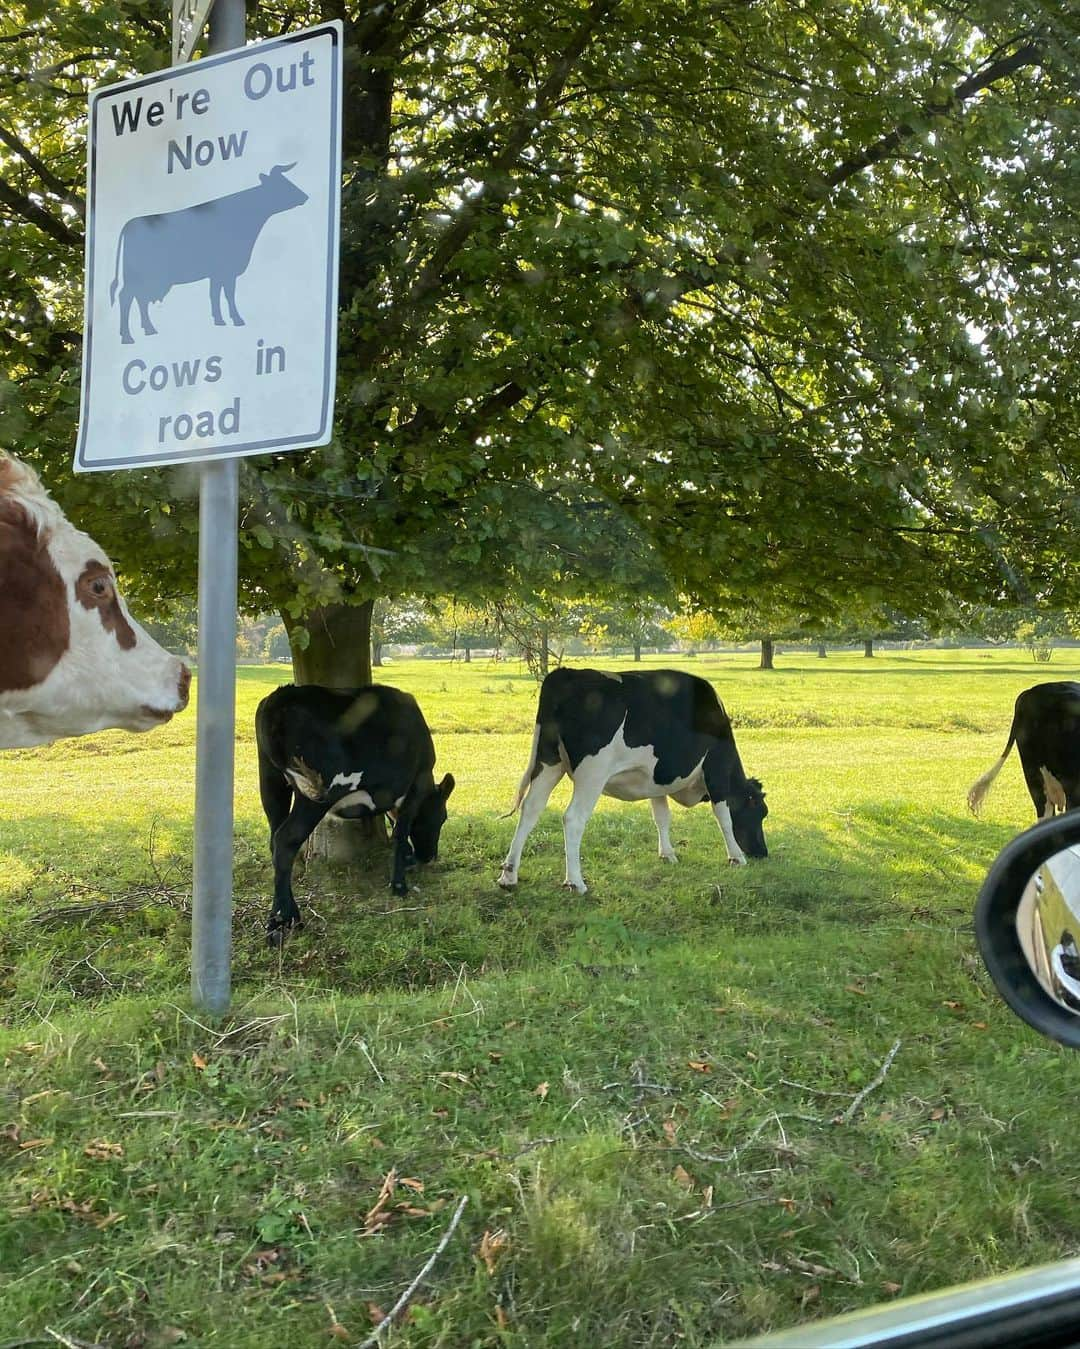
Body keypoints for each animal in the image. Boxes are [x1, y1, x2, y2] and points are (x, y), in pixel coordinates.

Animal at [110, 163, 307, 345]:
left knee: (140, 300)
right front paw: (237, 319)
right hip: (137, 278)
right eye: (282, 183)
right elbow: (228, 294)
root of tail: (129, 224)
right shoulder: (227, 270)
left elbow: (215, 294)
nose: (305, 196)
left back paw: (149, 329)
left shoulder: (217, 273)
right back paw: (128, 337)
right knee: (126, 297)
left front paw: (219, 320)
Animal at [256, 679, 455, 944]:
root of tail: (280, 697)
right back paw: (279, 924)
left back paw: (289, 917)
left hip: (271, 782)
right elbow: (400, 832)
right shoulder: (415, 787)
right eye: (442, 818)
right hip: (317, 793)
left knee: (275, 840)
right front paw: (399, 885)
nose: (429, 856)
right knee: (286, 840)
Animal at [496, 666, 765, 895]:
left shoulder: (656, 780)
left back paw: (509, 875)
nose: (763, 853)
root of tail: (566, 673)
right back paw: (576, 882)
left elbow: (662, 817)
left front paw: (667, 854)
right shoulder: (716, 769)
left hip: (549, 762)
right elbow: (724, 817)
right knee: (572, 818)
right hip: (592, 774)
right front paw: (736, 857)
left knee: (530, 809)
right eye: (760, 812)